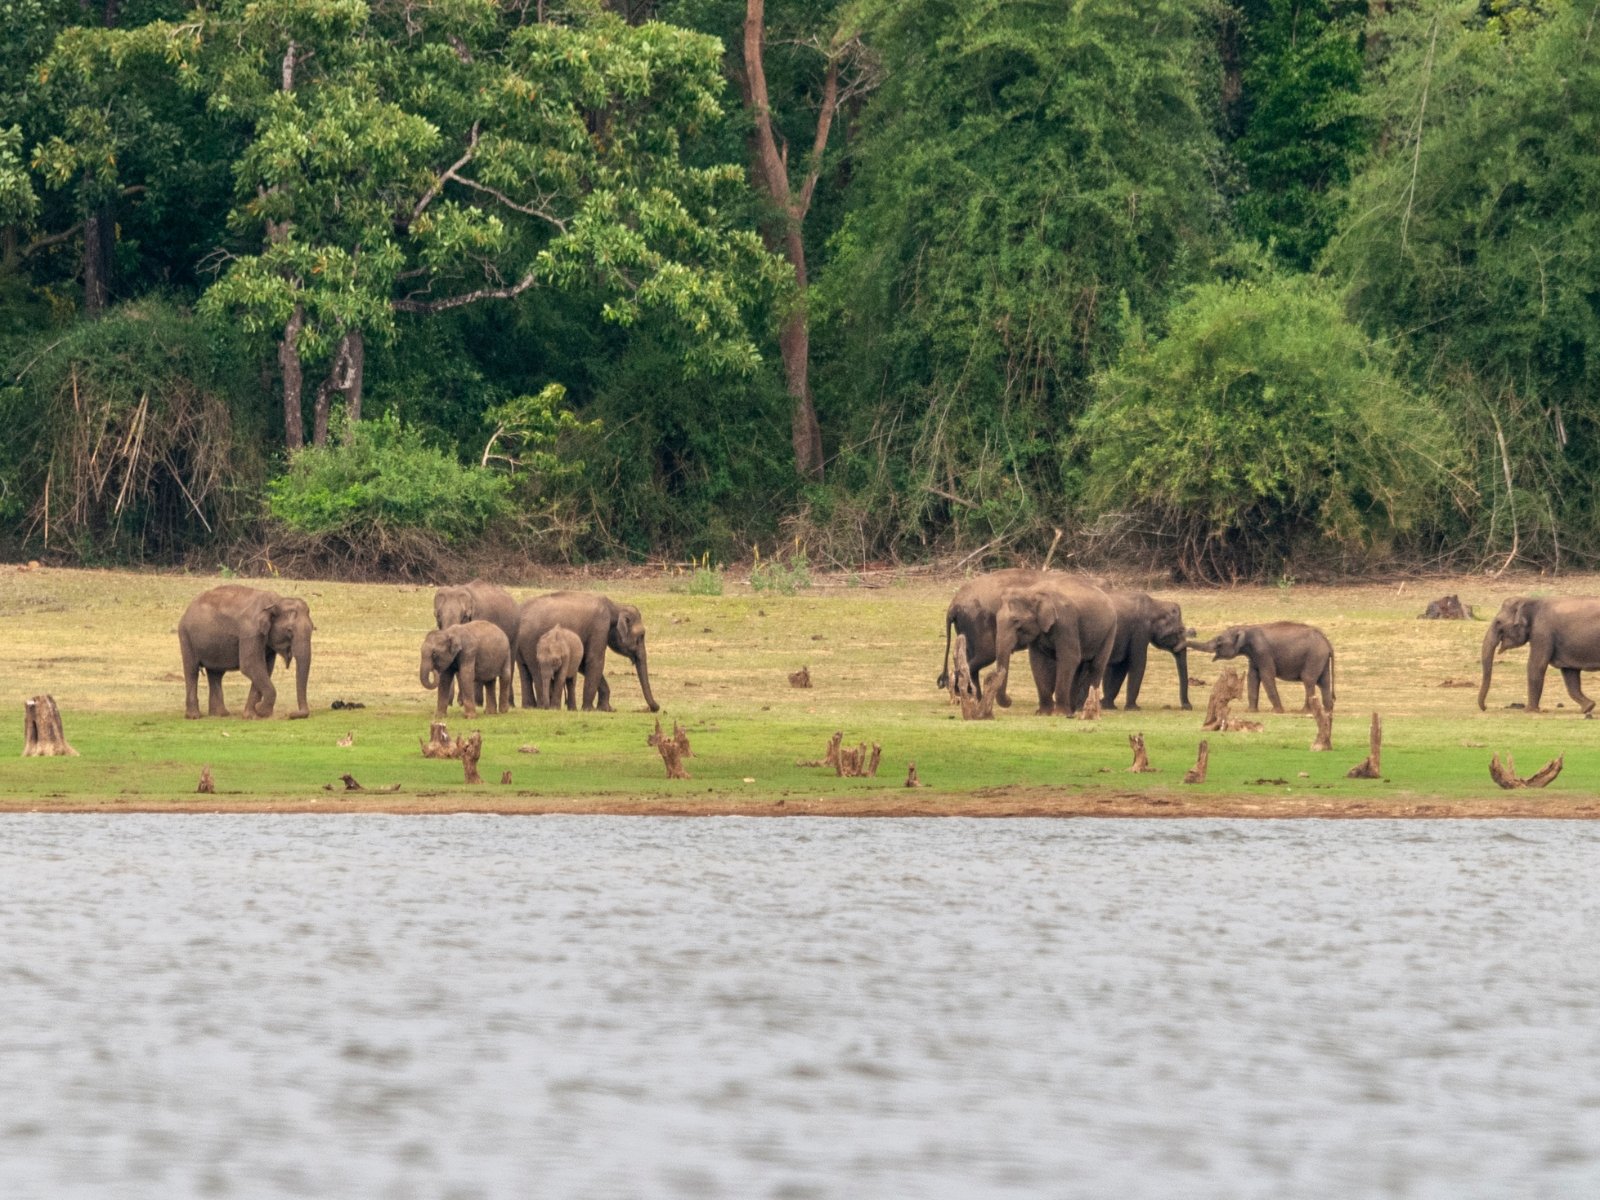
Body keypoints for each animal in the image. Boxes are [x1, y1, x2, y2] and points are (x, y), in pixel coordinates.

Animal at [178, 584, 314, 719]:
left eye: (312, 628)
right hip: (186, 636)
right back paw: (194, 716)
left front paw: (252, 715)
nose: (291, 714)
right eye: (289, 630)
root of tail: (187, 609)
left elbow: (265, 668)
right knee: (192, 671)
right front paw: (259, 710)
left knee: (216, 674)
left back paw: (221, 714)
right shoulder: (250, 632)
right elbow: (251, 665)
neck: (276, 602)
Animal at [514, 592, 660, 712]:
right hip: (531, 643)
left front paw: (607, 709)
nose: (656, 708)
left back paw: (529, 706)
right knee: (536, 670)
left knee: (524, 670)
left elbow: (583, 664)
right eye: (641, 635)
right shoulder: (600, 626)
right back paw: (541, 707)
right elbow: (595, 660)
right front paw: (589, 709)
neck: (615, 607)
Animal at [990, 579, 1118, 715]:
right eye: (996, 620)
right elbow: (1038, 661)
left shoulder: (1066, 622)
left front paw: (1059, 713)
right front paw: (1043, 713)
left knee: (1096, 666)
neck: (1031, 591)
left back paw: (1088, 710)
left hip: (1110, 631)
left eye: (1016, 621)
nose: (1010, 700)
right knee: (1078, 668)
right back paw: (1072, 711)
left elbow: (1069, 658)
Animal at [1190, 622, 1334, 713]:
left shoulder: (1263, 652)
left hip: (1314, 657)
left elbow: (1266, 676)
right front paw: (1250, 711)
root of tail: (1327, 642)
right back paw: (1328, 710)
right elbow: (1252, 677)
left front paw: (1277, 711)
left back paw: (1304, 711)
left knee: (1308, 680)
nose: (1192, 633)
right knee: (1324, 682)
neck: (1246, 628)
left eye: (1219, 641)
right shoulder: (1254, 656)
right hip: (1320, 659)